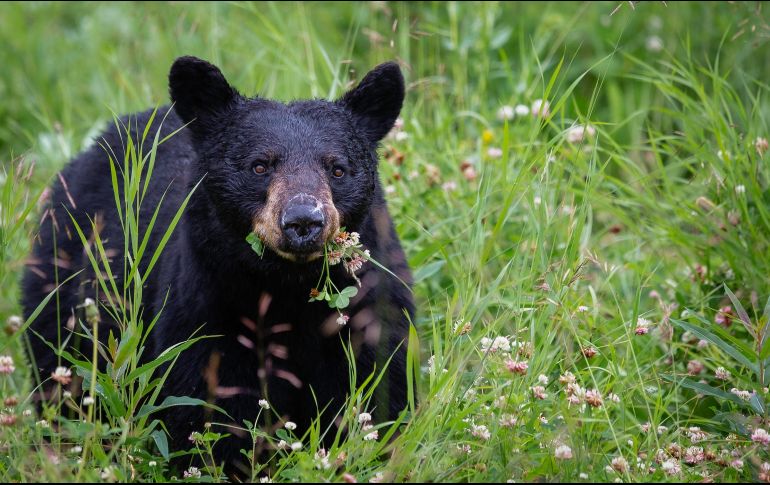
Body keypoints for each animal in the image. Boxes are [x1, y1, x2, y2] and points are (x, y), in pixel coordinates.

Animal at [21, 56, 414, 473]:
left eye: (337, 168)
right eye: (260, 166)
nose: (303, 221)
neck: (287, 286)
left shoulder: (369, 304)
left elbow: (378, 387)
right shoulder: (206, 304)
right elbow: (209, 401)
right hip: (62, 278)